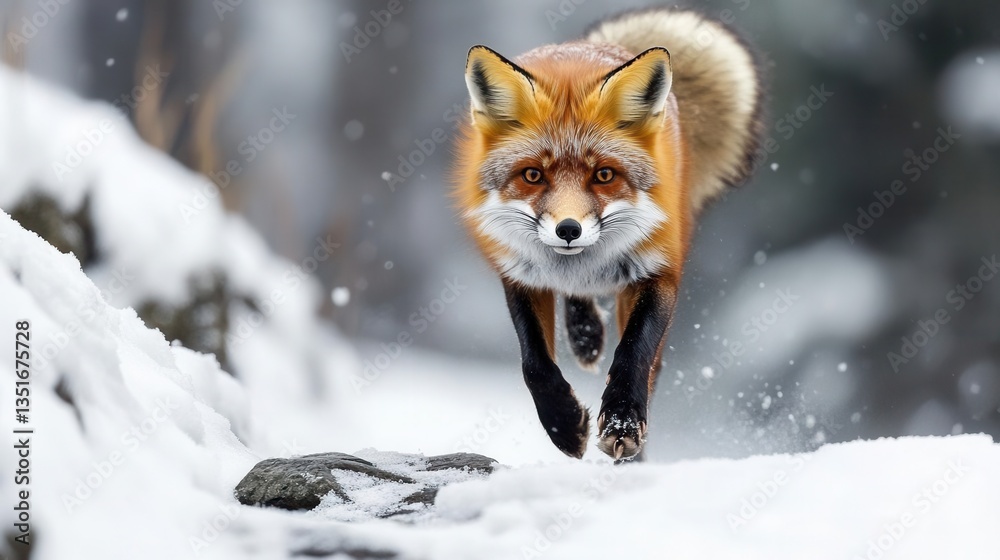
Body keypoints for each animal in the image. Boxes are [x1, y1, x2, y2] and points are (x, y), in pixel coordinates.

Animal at [452, 7, 765, 460]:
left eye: (603, 175)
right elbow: (534, 364)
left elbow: (634, 354)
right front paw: (564, 424)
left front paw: (622, 422)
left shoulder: (659, 270)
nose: (568, 230)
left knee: (650, 366)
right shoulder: (520, 273)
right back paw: (585, 336)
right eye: (532, 175)